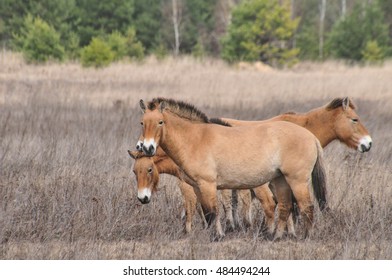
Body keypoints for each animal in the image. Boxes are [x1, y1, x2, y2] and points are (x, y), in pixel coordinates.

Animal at [139, 97, 328, 240]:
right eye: (142, 123)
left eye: (160, 122)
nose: (147, 148)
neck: (195, 139)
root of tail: (311, 137)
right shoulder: (197, 187)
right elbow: (206, 212)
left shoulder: (208, 184)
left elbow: (213, 211)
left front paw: (217, 236)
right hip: (280, 180)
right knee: (285, 206)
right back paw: (276, 237)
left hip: (297, 181)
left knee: (306, 206)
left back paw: (307, 237)